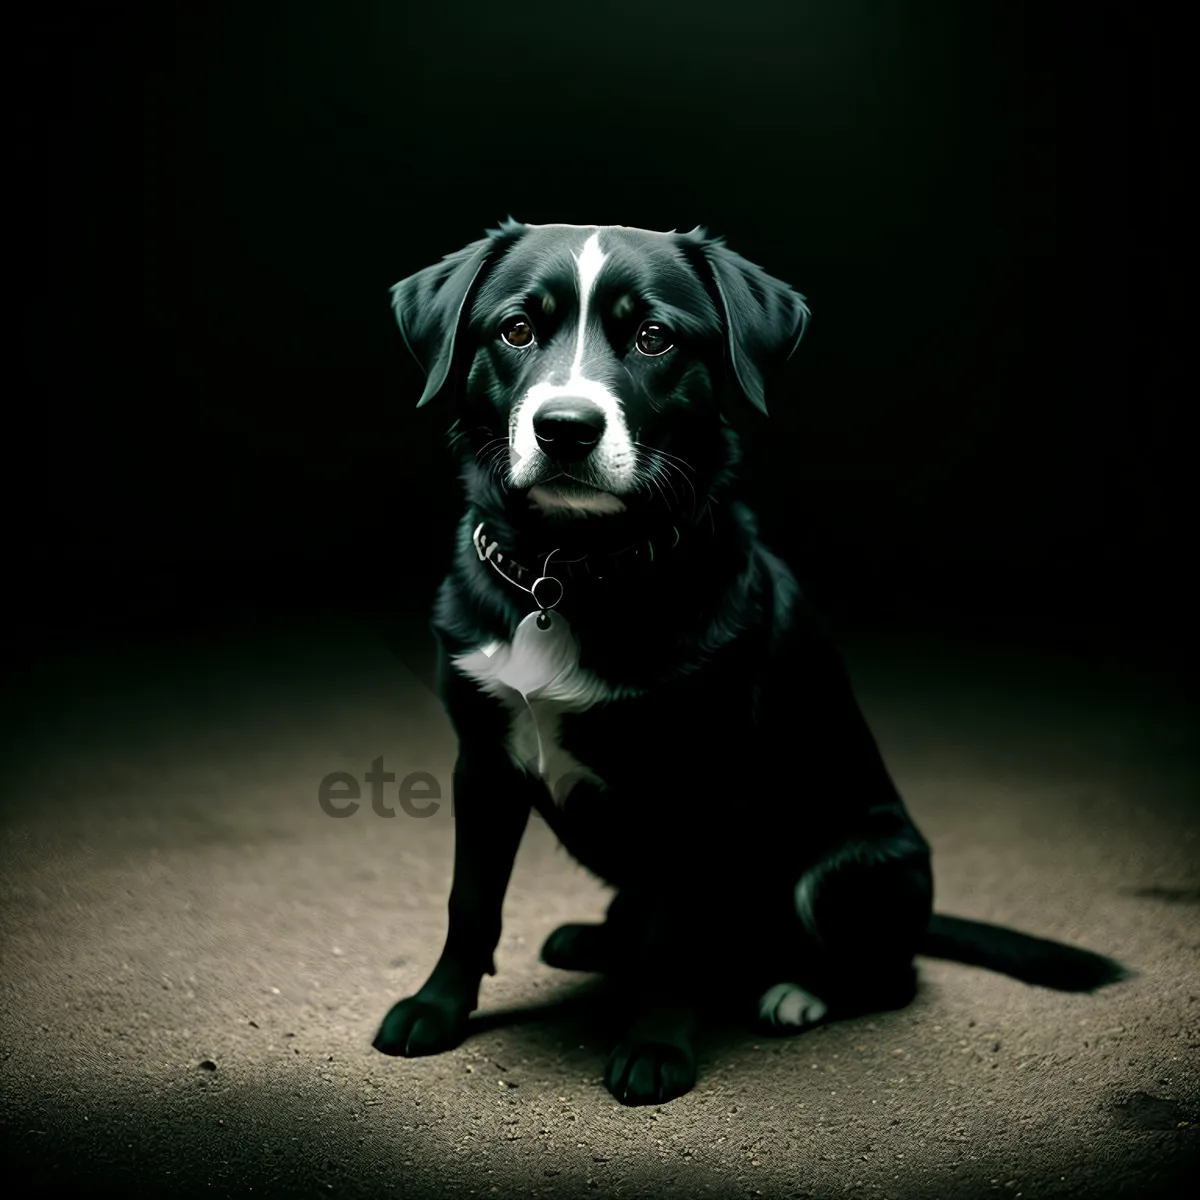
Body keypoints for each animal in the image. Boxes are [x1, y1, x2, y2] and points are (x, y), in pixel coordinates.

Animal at [369, 218, 1128, 1104]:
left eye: (654, 337)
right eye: (517, 329)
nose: (566, 427)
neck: (570, 570)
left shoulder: (700, 784)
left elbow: (679, 931)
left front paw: (657, 1045)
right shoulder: (483, 762)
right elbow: (471, 900)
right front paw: (437, 1008)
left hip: (855, 871)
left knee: (888, 973)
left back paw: (795, 991)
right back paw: (597, 941)